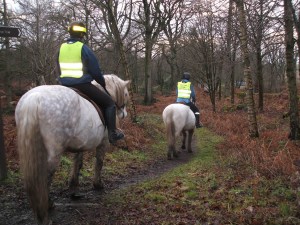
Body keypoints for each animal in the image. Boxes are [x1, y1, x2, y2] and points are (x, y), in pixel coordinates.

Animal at [14, 74, 130, 224]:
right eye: (126, 93)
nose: (124, 114)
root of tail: (34, 99)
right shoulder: (103, 143)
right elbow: (99, 163)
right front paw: (97, 184)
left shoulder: (80, 144)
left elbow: (77, 163)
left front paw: (74, 188)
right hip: (53, 153)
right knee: (45, 177)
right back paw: (47, 208)